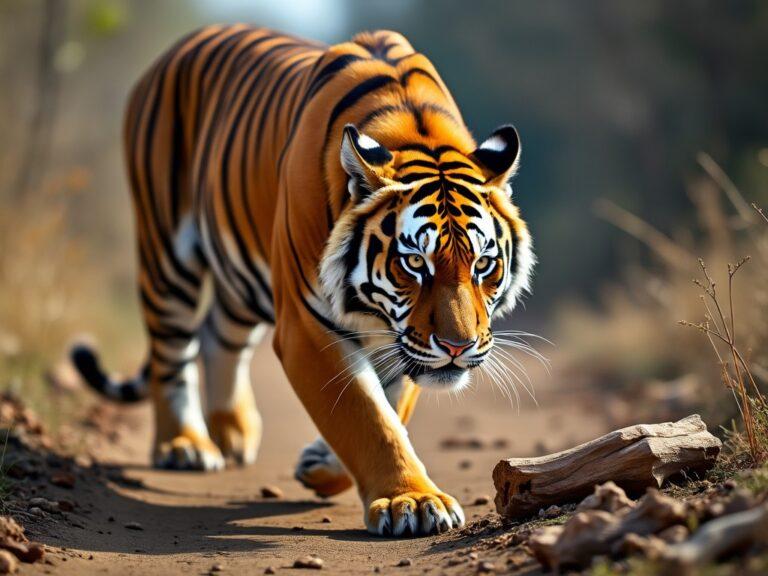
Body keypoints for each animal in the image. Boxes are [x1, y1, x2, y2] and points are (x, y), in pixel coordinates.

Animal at [70, 22, 536, 536]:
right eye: (415, 263)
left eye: (483, 265)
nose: (458, 346)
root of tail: (183, 43)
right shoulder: (308, 326)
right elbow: (365, 415)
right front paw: (412, 502)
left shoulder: (405, 341)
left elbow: (391, 404)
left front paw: (323, 463)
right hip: (167, 253)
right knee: (171, 352)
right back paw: (185, 445)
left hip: (242, 277)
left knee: (217, 334)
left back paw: (234, 432)